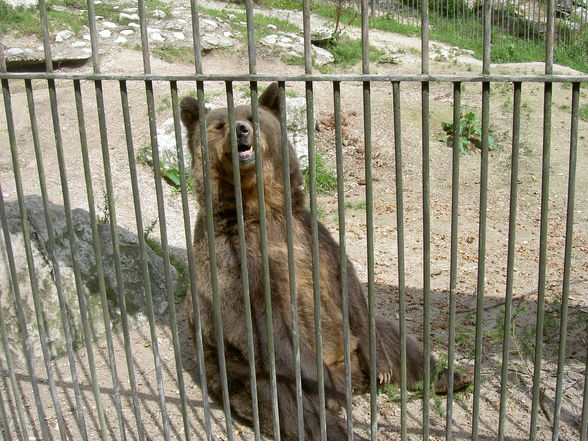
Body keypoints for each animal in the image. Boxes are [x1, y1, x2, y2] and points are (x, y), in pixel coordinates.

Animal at [179, 83, 474, 440]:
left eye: (252, 117)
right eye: (220, 125)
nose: (241, 130)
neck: (257, 210)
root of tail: (354, 378)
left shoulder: (310, 235)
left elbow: (347, 285)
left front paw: (389, 368)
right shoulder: (232, 259)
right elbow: (260, 321)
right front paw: (325, 389)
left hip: (357, 340)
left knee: (394, 336)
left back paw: (452, 375)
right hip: (239, 371)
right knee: (291, 405)